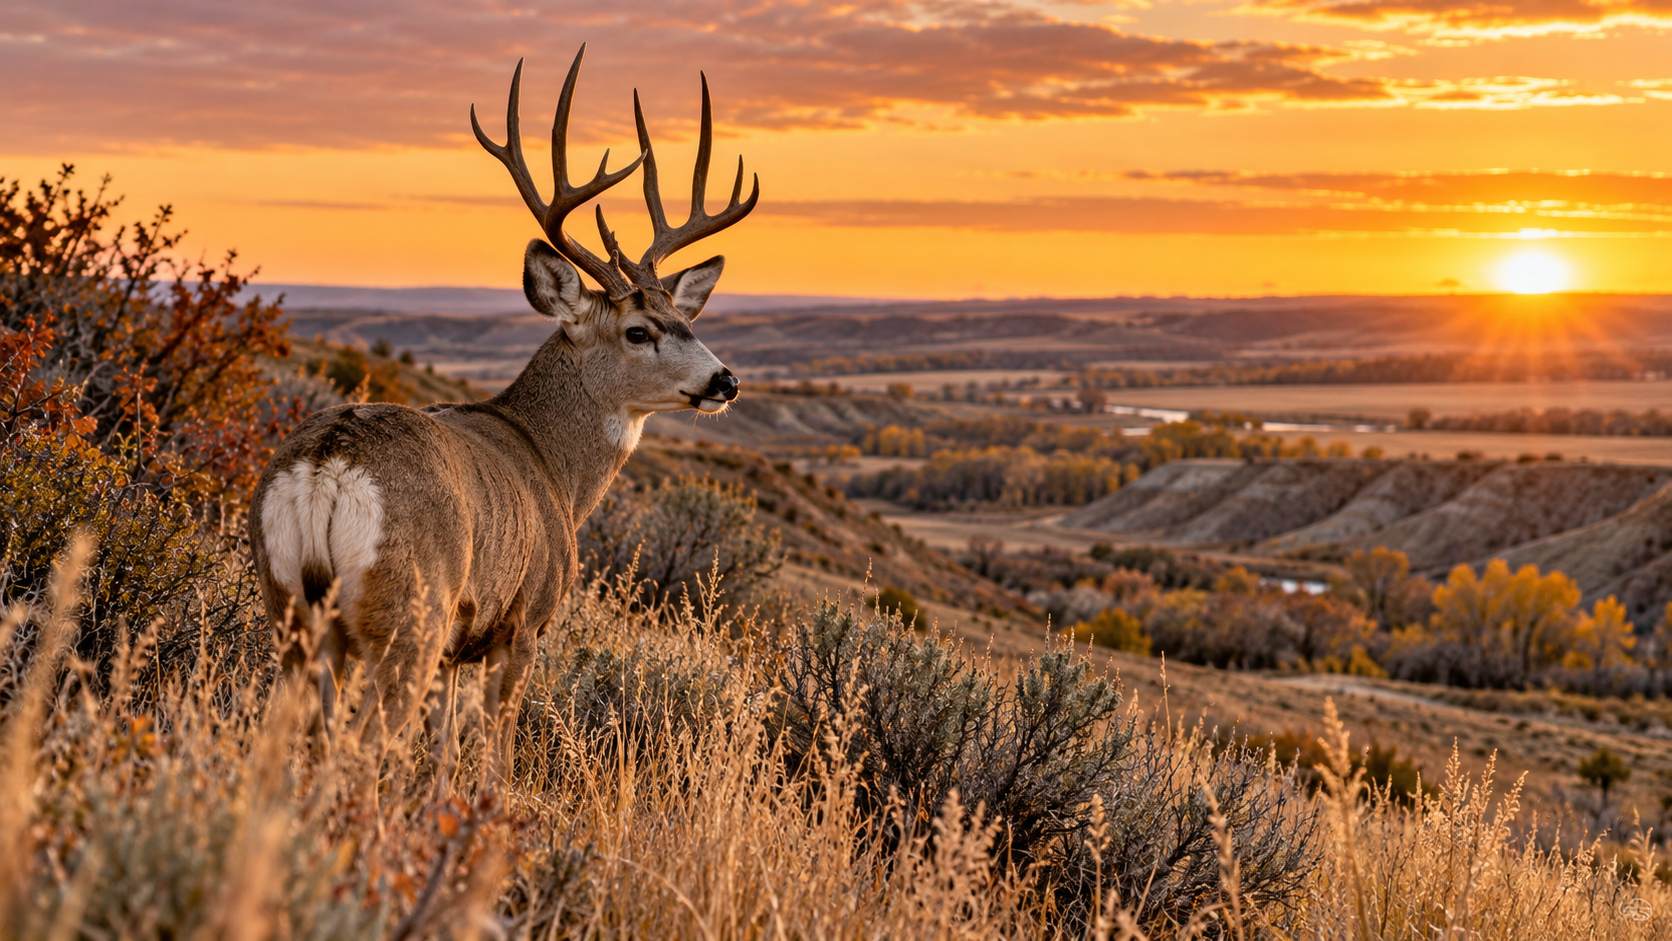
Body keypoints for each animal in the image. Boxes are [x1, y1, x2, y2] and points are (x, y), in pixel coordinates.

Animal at [249, 44, 758, 793]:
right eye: (638, 331)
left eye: (686, 319)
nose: (725, 380)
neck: (555, 467)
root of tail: (326, 465)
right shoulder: (523, 621)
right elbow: (495, 753)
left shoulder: (458, 648)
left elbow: (441, 754)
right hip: (409, 616)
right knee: (360, 748)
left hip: (291, 611)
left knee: (294, 745)